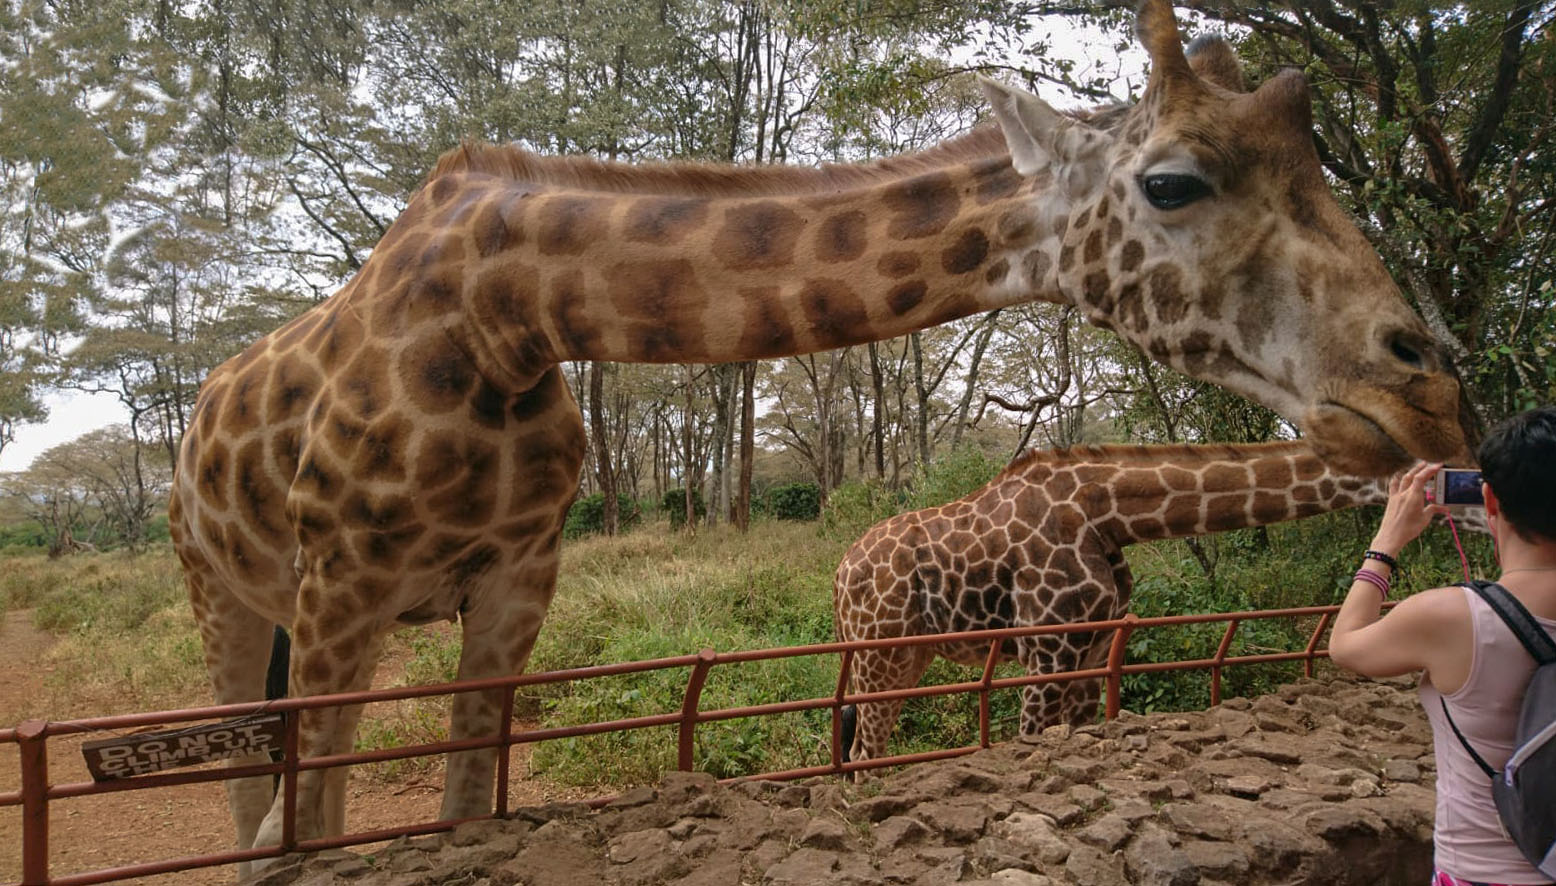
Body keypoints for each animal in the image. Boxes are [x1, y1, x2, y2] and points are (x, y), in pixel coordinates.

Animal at [827, 442, 1468, 766]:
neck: (1107, 512)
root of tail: (839, 574)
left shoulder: (1090, 646)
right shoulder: (1045, 646)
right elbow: (1030, 741)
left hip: (909, 655)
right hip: (880, 650)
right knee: (862, 746)